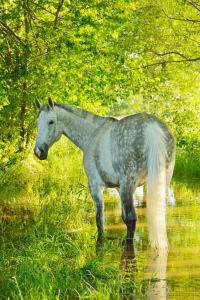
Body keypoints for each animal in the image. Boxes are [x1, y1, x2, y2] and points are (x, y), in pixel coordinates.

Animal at [35, 96, 176, 248]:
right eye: (37, 123)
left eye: (51, 122)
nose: (38, 152)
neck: (92, 133)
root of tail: (151, 125)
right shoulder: (119, 188)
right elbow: (123, 217)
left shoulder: (95, 186)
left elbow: (100, 220)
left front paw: (100, 242)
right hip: (161, 182)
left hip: (128, 183)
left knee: (132, 218)